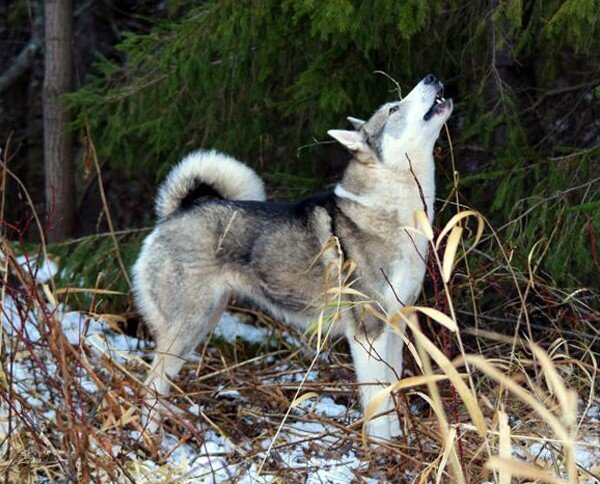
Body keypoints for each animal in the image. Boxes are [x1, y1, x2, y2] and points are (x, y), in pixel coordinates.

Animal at [134, 73, 452, 440]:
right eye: (394, 108)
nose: (432, 77)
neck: (392, 213)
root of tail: (174, 214)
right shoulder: (367, 333)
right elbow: (377, 405)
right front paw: (382, 447)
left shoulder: (396, 327)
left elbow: (393, 392)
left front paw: (400, 441)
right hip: (187, 327)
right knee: (151, 384)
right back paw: (149, 440)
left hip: (203, 323)